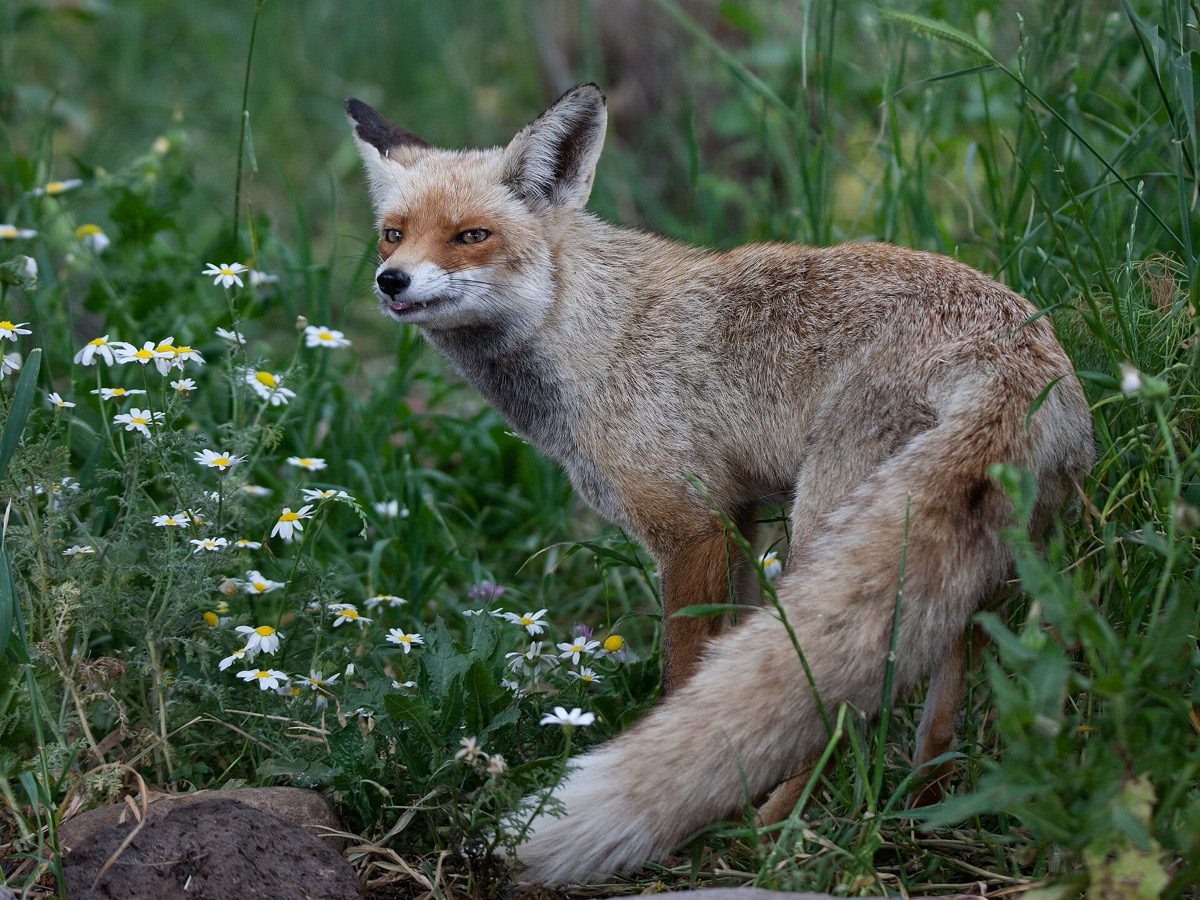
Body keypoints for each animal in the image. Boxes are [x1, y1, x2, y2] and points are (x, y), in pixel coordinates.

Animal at [346, 83, 1094, 884]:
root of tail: (1017, 352)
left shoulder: (689, 526)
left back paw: (772, 836)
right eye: (392, 234)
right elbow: (725, 661)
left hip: (825, 532)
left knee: (839, 706)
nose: (391, 281)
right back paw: (914, 814)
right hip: (974, 565)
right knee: (942, 712)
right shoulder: (739, 518)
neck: (594, 337)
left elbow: (686, 679)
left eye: (471, 236)